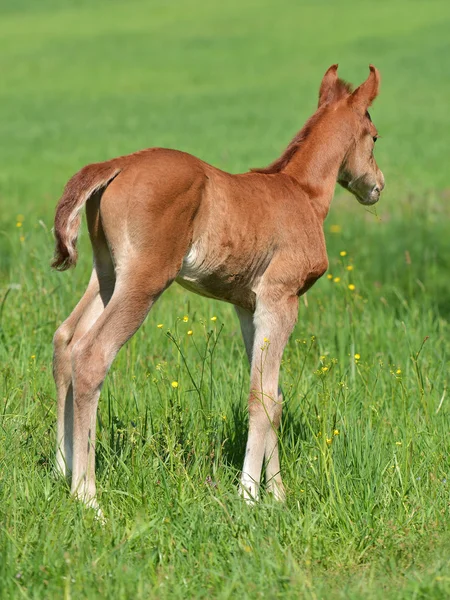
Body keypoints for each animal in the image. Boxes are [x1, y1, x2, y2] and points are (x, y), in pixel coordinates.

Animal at [51, 64, 384, 506]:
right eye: (375, 137)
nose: (377, 186)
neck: (303, 195)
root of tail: (117, 163)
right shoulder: (282, 299)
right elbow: (263, 397)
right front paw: (248, 494)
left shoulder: (248, 306)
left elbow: (272, 391)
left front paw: (278, 494)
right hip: (144, 280)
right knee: (91, 355)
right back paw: (87, 496)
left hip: (106, 274)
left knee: (66, 339)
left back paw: (61, 469)